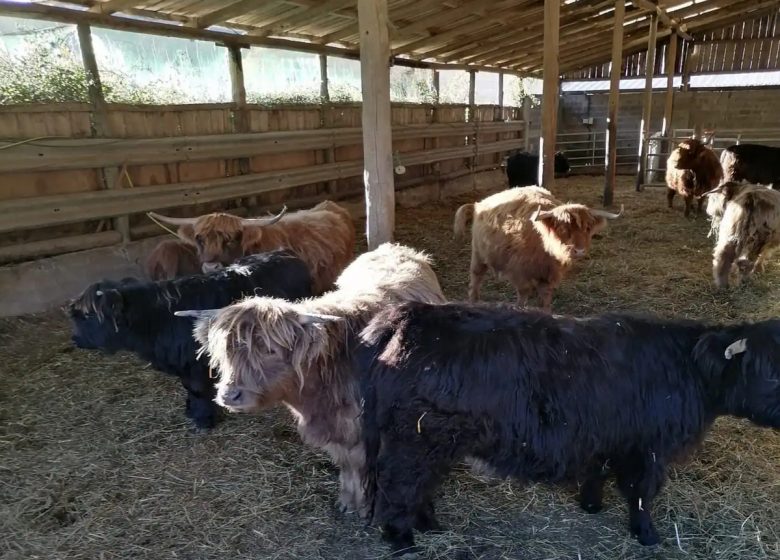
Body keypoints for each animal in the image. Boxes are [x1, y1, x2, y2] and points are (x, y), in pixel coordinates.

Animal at [177, 245, 444, 516]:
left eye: (270, 350)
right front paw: (347, 501)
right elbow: (347, 463)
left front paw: (365, 506)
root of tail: (395, 248)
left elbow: (364, 465)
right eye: (224, 350)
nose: (229, 395)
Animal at [454, 188, 620, 310]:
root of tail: (479, 204)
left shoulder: (548, 276)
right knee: (476, 279)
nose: (579, 251)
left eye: (587, 228)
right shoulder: (519, 272)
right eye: (563, 228)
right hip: (478, 254)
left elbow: (544, 299)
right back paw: (473, 302)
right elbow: (523, 295)